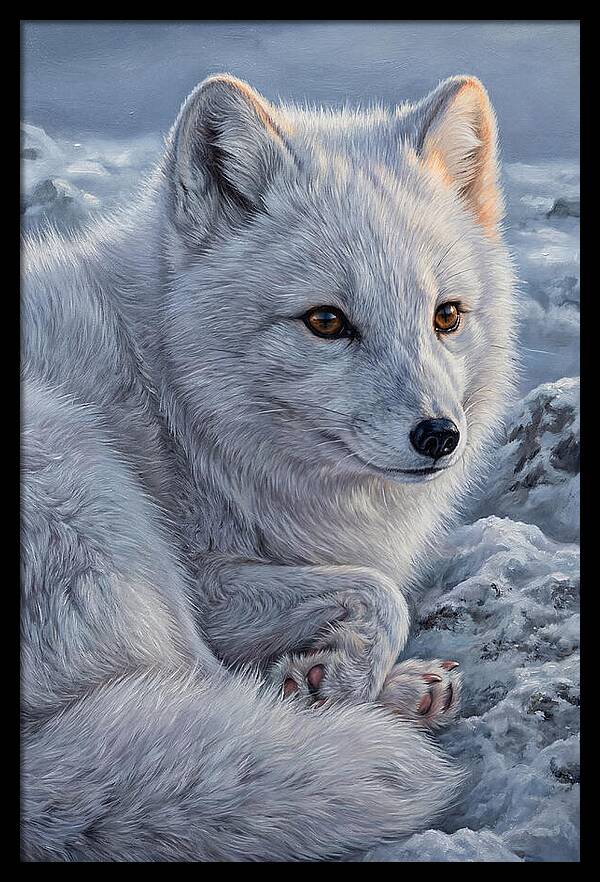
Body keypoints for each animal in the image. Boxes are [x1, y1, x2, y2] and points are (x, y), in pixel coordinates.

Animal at [21, 73, 516, 861]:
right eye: (326, 322)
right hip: (92, 492)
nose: (440, 436)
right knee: (202, 687)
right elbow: (383, 593)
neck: (170, 394)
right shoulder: (206, 579)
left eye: (446, 316)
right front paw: (339, 678)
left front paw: (333, 673)